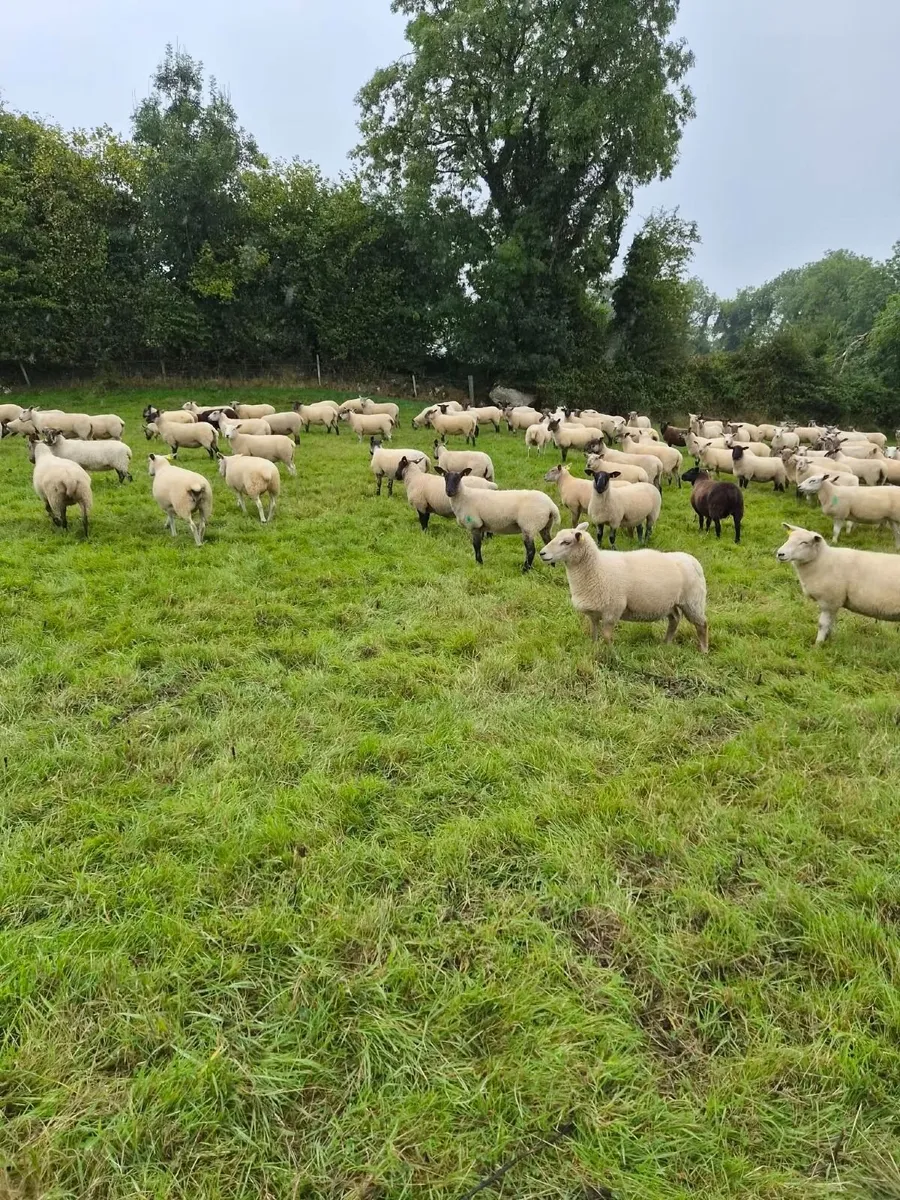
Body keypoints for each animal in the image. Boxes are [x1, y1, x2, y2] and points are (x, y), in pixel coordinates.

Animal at [539, 523, 709, 651]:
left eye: (566, 542)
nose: (542, 553)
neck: (597, 568)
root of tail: (693, 561)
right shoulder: (593, 613)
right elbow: (593, 632)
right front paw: (593, 648)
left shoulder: (612, 610)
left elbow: (607, 636)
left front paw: (610, 654)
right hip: (670, 603)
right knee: (675, 619)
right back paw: (665, 643)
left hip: (693, 601)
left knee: (702, 625)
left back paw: (703, 650)